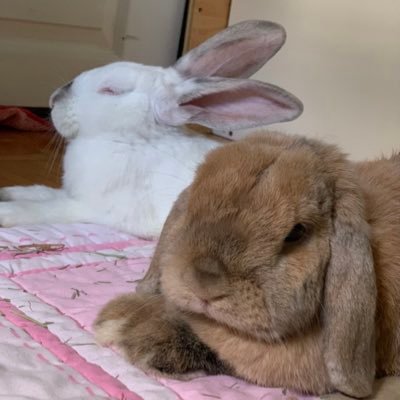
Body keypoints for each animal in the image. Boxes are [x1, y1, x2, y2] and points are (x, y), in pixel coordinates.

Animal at [0, 21, 302, 238]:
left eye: (111, 91)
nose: (52, 100)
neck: (130, 139)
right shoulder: (70, 193)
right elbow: (39, 191)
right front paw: (7, 190)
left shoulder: (87, 207)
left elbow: (42, 208)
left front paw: (5, 211)